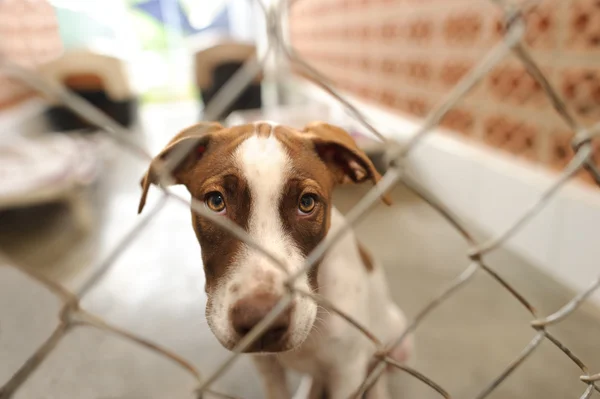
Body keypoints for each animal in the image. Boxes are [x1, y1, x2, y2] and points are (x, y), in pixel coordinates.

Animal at [138, 122, 412, 399]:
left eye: (307, 202)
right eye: (216, 202)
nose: (262, 322)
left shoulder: (346, 372)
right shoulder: (266, 365)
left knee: (378, 374)